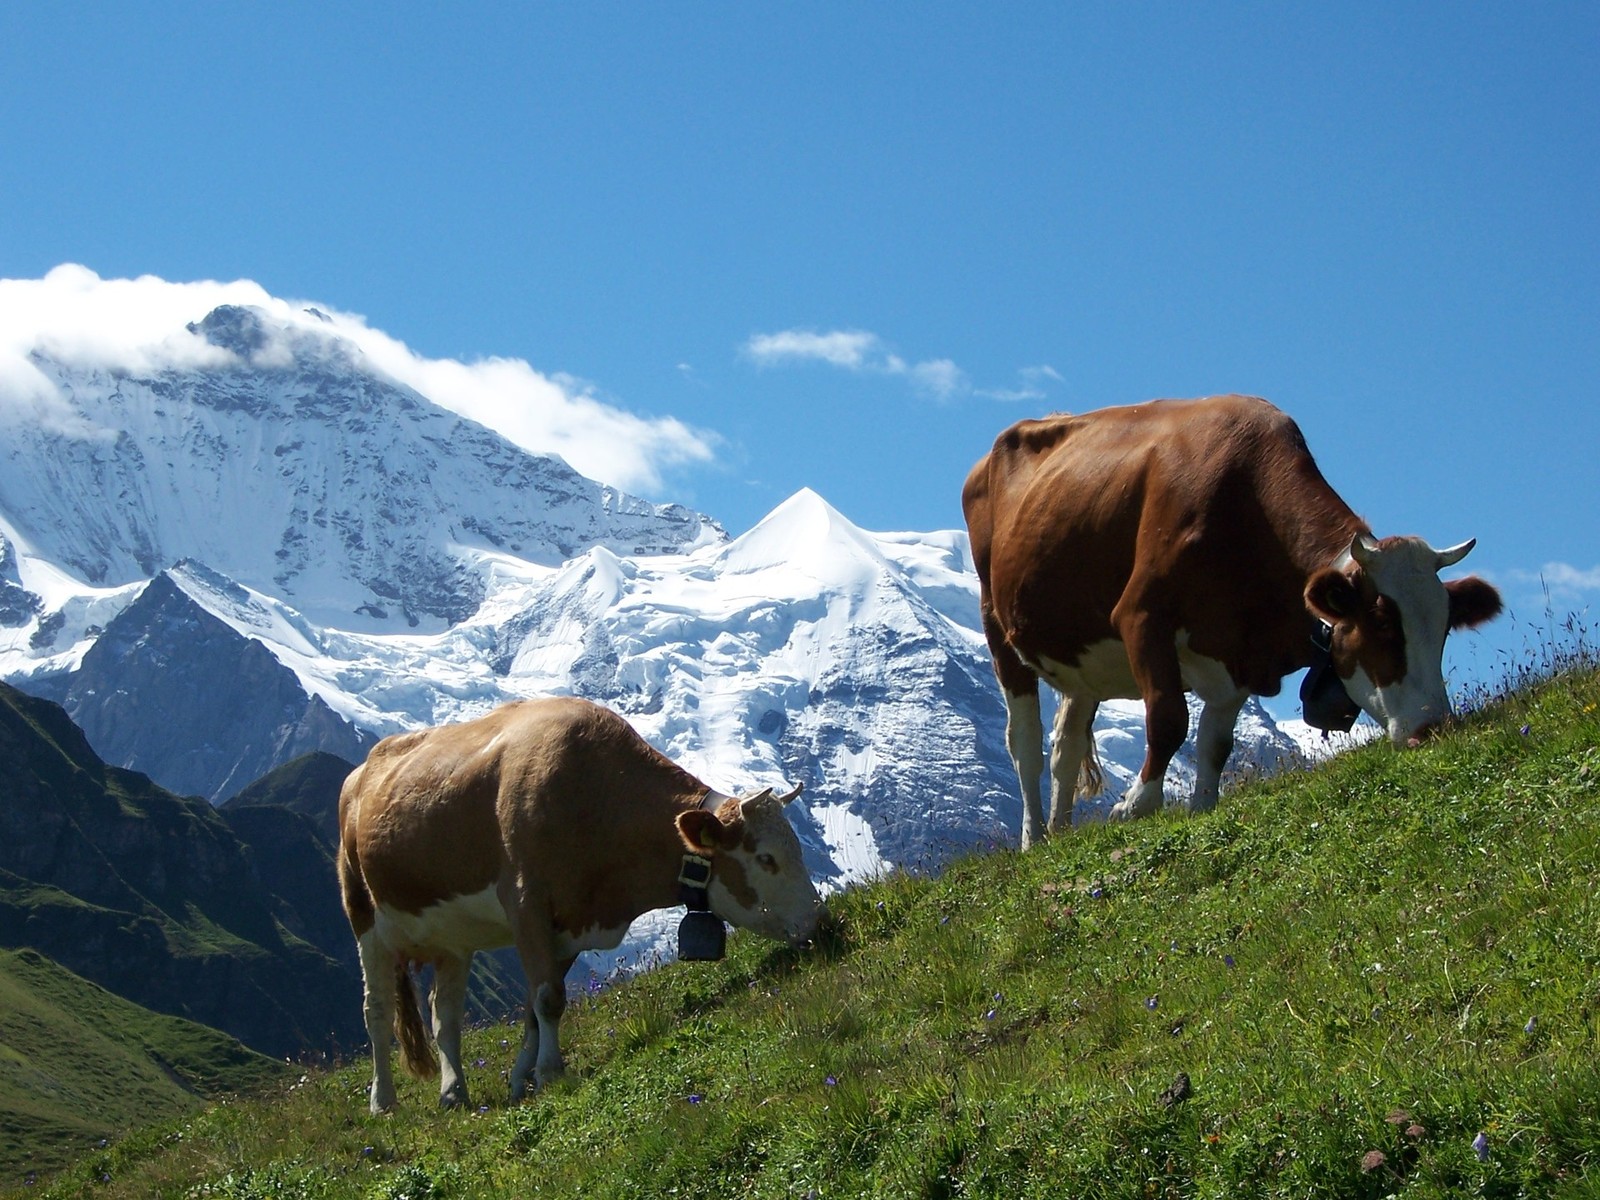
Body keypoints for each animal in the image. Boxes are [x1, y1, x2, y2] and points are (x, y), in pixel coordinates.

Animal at [331, 700, 819, 1113]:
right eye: (766, 859)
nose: (819, 919)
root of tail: (360, 774)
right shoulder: (525, 902)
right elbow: (548, 998)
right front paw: (550, 1072)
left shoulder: (568, 924)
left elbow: (534, 1007)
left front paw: (520, 1079)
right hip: (363, 916)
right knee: (376, 1011)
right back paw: (383, 1101)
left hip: (453, 940)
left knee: (443, 1013)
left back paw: (454, 1093)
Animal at [960, 395, 1497, 844]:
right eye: (1383, 624)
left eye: (1444, 628)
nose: (1432, 727)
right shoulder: (1142, 616)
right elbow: (1169, 719)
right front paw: (1136, 805)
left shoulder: (1237, 652)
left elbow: (1215, 744)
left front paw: (1201, 807)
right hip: (998, 626)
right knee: (1024, 742)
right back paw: (1035, 839)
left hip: (1081, 658)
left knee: (1065, 744)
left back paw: (1061, 833)